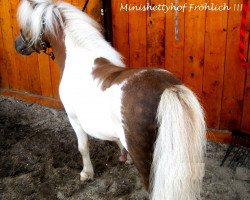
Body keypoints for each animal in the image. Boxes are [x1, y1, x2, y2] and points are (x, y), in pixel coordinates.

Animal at [14, 0, 205, 199]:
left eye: (27, 24)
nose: (17, 45)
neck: (79, 57)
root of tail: (168, 88)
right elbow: (116, 140)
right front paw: (124, 157)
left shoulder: (74, 119)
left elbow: (83, 147)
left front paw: (87, 173)